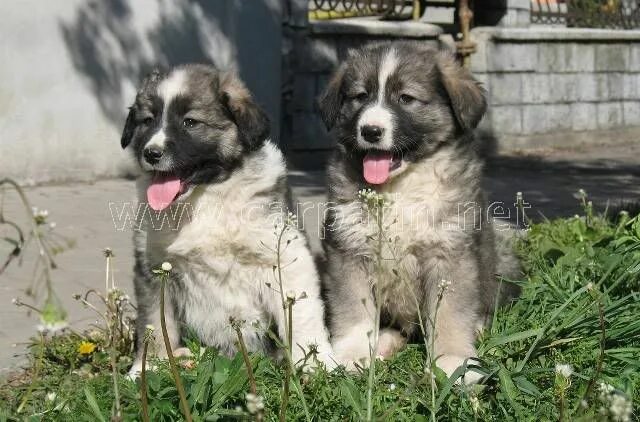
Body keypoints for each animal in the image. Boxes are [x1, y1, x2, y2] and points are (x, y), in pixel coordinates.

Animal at [122, 64, 336, 374]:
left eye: (190, 122)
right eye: (147, 121)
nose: (151, 153)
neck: (207, 196)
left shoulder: (286, 255)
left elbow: (302, 312)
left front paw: (317, 363)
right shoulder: (154, 266)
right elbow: (153, 323)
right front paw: (145, 368)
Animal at [318, 44, 520, 384]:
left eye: (406, 98)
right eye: (360, 96)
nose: (370, 131)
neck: (400, 187)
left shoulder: (449, 254)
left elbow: (450, 314)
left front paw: (452, 361)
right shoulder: (348, 251)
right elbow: (352, 308)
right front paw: (353, 354)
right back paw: (383, 342)